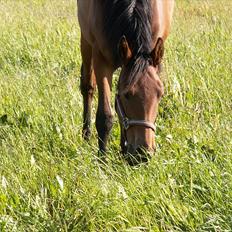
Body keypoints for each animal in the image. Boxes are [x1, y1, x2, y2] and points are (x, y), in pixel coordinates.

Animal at [77, 0, 174, 164]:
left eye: (160, 94)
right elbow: (105, 116)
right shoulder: (101, 59)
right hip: (85, 40)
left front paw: (124, 150)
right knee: (87, 86)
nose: (143, 153)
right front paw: (102, 160)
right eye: (127, 95)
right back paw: (86, 135)